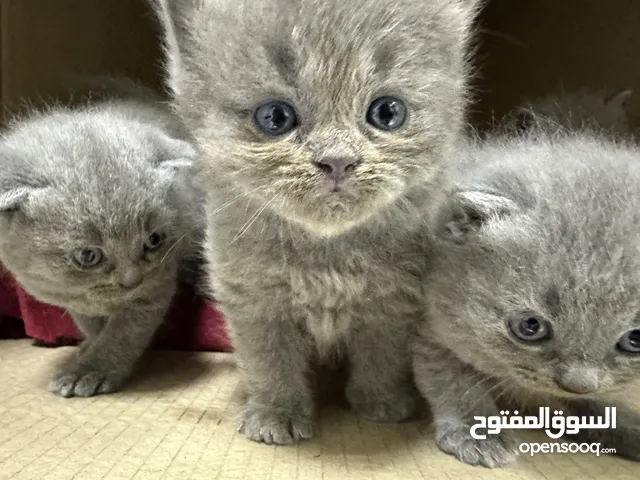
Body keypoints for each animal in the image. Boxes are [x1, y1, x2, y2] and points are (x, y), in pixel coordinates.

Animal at [0, 97, 202, 398]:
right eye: (88, 255)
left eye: (154, 240)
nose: (132, 281)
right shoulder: (67, 295)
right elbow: (90, 323)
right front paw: (89, 345)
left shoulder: (157, 283)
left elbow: (123, 334)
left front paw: (90, 370)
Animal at [152, 0, 478, 442]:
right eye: (274, 116)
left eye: (388, 112)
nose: (338, 160)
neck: (325, 257)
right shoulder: (252, 298)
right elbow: (269, 360)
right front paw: (277, 415)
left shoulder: (394, 300)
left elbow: (383, 352)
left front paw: (381, 403)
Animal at [412, 129, 640, 466]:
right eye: (530, 326)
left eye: (635, 339)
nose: (578, 384)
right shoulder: (429, 328)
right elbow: (453, 379)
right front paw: (477, 432)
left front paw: (623, 424)